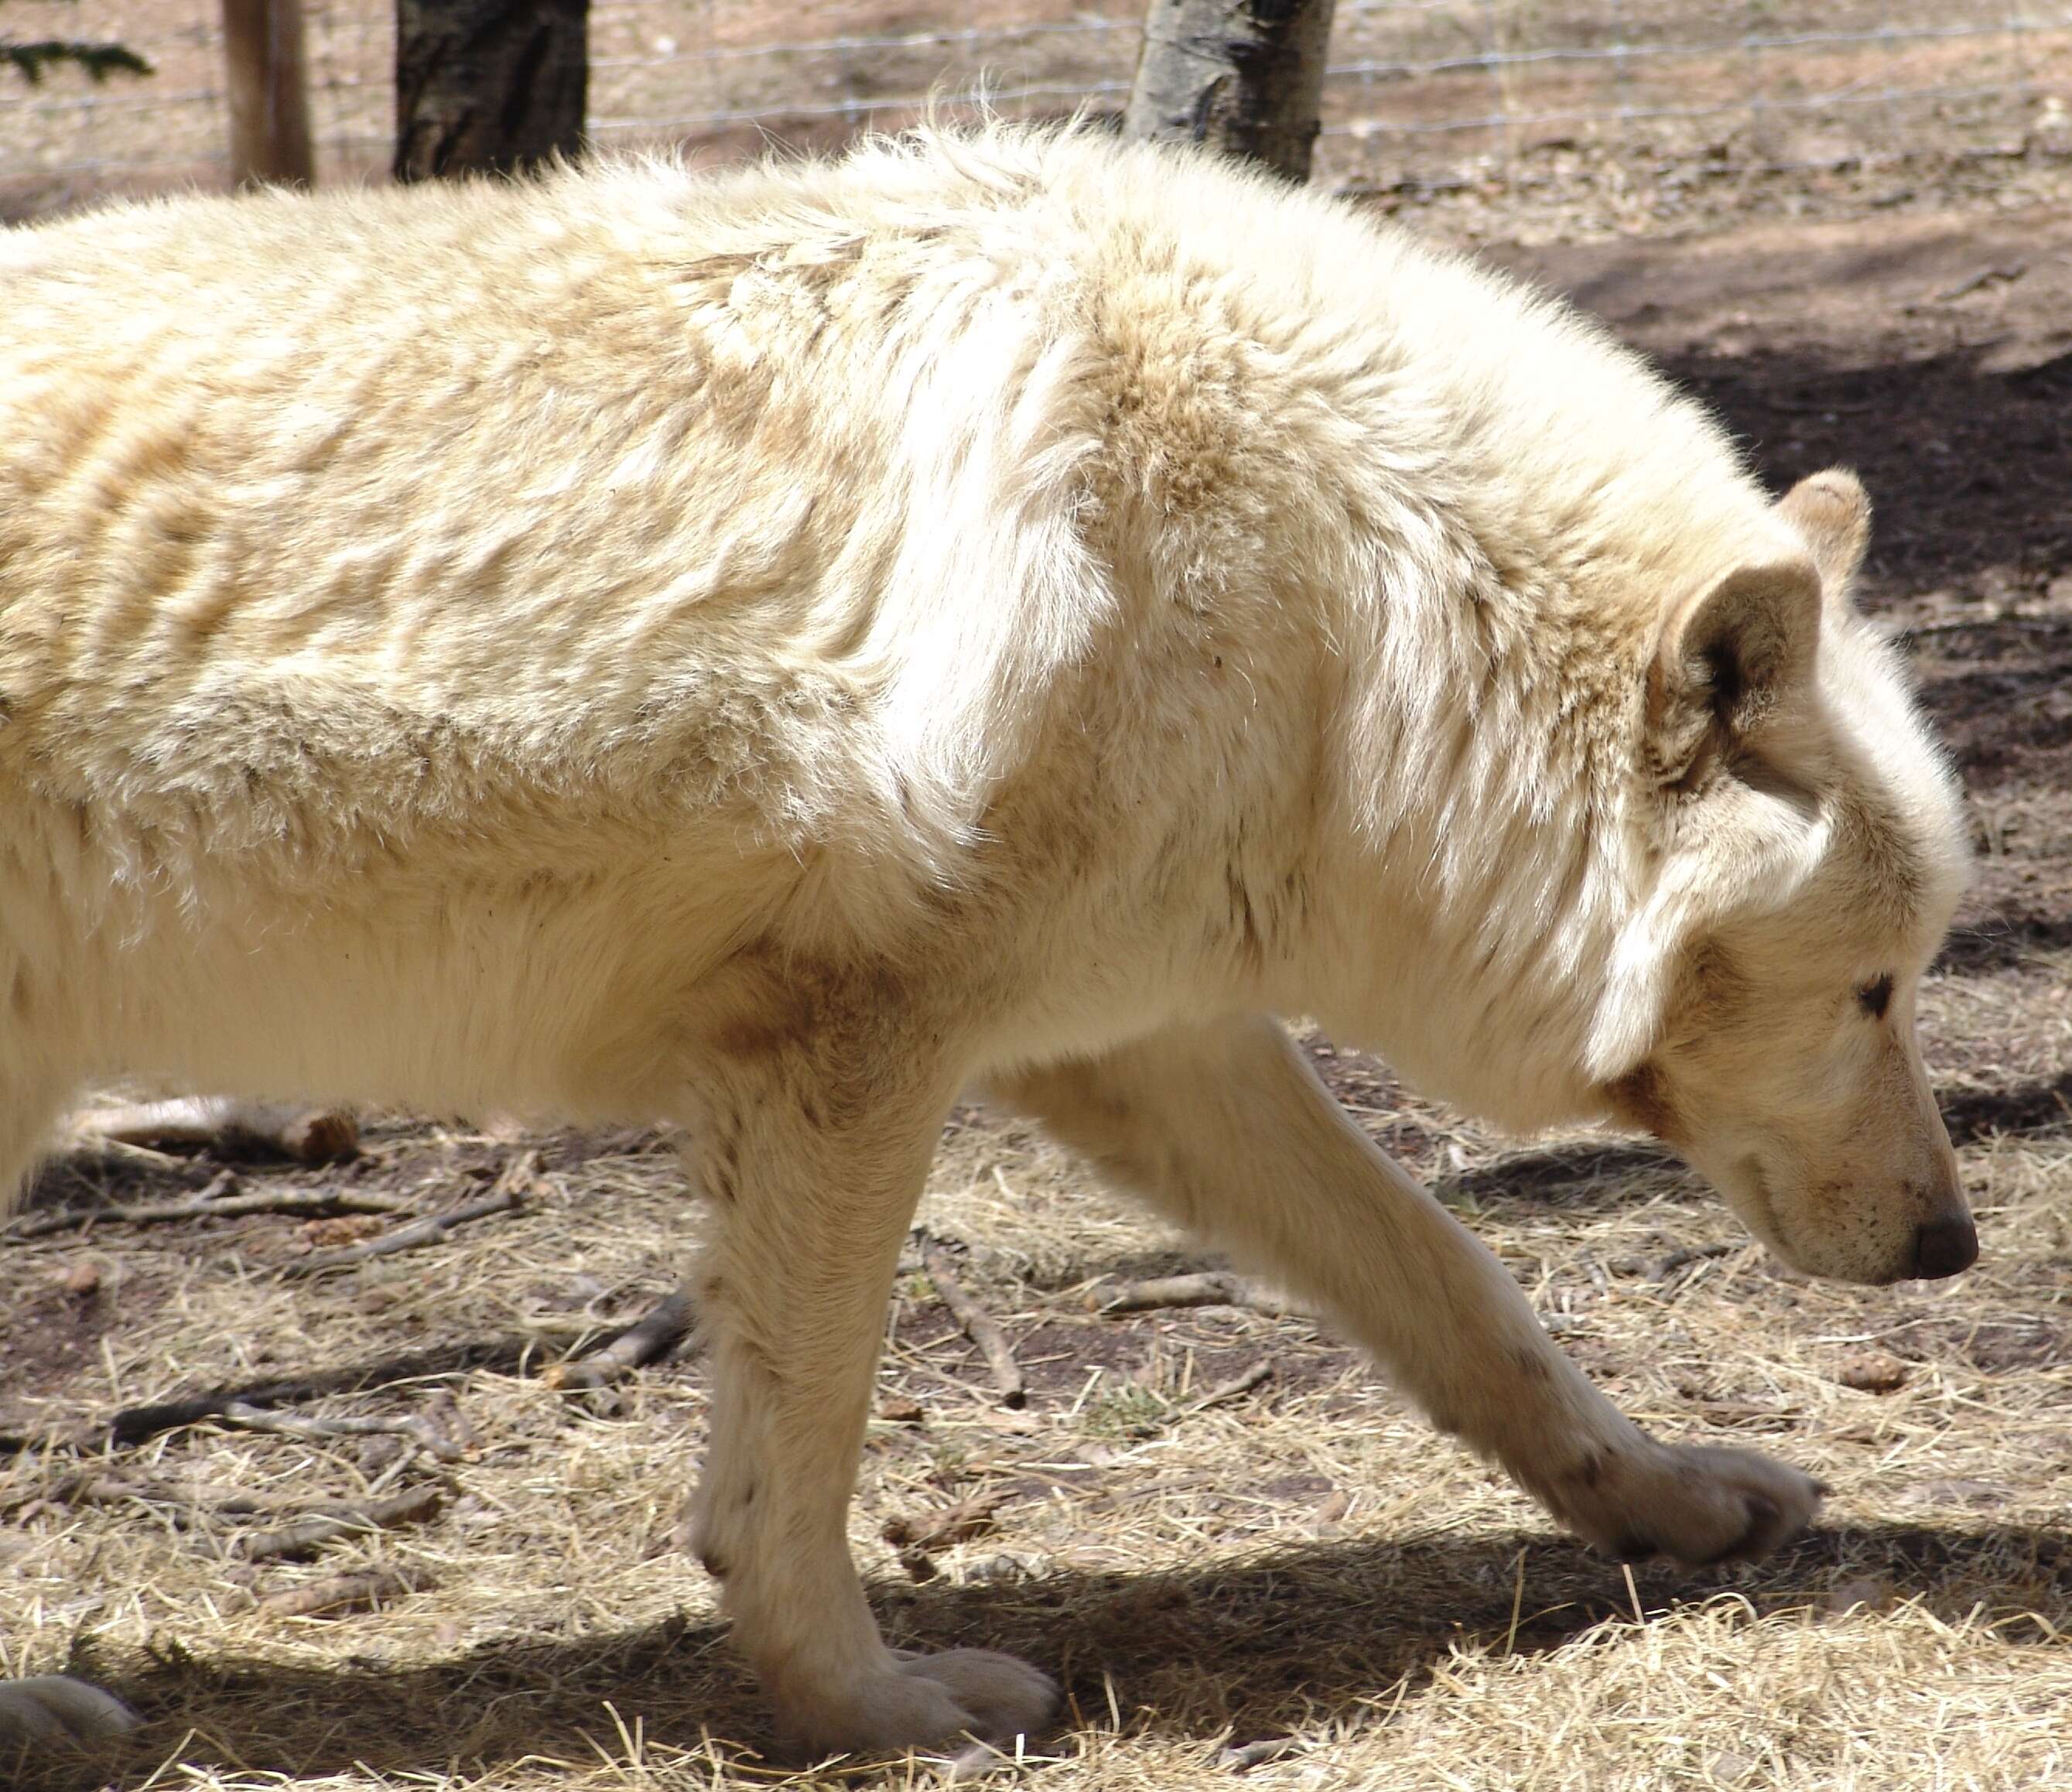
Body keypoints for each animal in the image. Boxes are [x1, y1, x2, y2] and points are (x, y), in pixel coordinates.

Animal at [0, 129, 1972, 1765]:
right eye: (1875, 986)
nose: (1951, 1244)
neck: (1349, 611)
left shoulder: (1142, 1040)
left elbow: (1460, 1290)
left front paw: (1665, 1502)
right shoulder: (853, 1053)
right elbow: (795, 1458)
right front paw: (871, 1708)